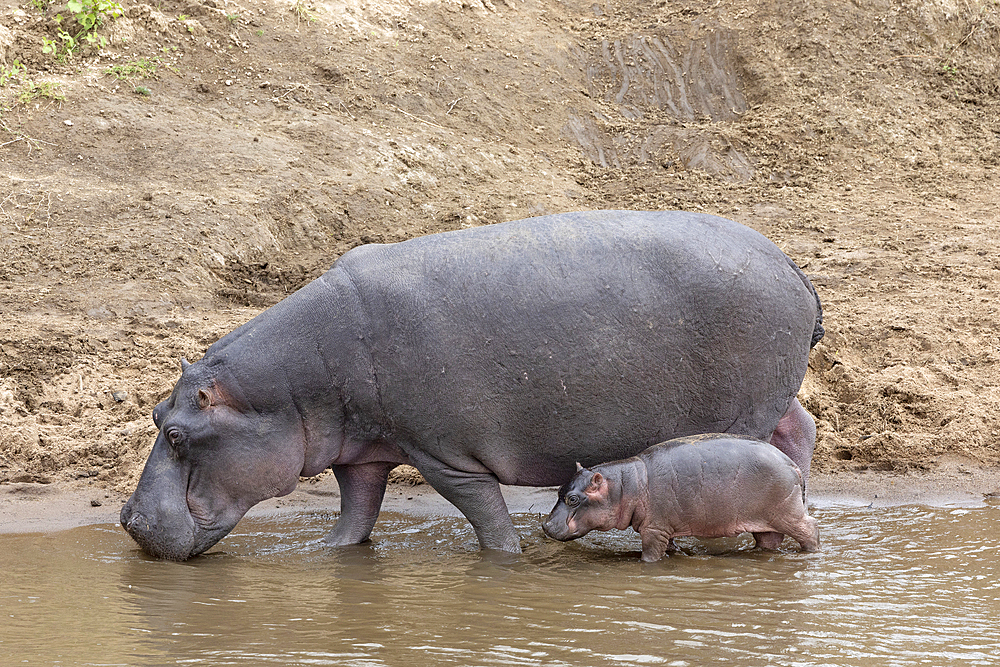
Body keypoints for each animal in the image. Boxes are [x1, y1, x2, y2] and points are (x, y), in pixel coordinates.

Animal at [548, 436, 820, 560]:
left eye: (573, 499)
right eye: (559, 490)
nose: (545, 525)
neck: (626, 485)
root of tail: (793, 464)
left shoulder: (654, 529)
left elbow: (651, 554)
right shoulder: (664, 528)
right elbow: (670, 546)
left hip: (788, 512)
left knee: (810, 528)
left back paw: (811, 553)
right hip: (766, 520)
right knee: (769, 540)